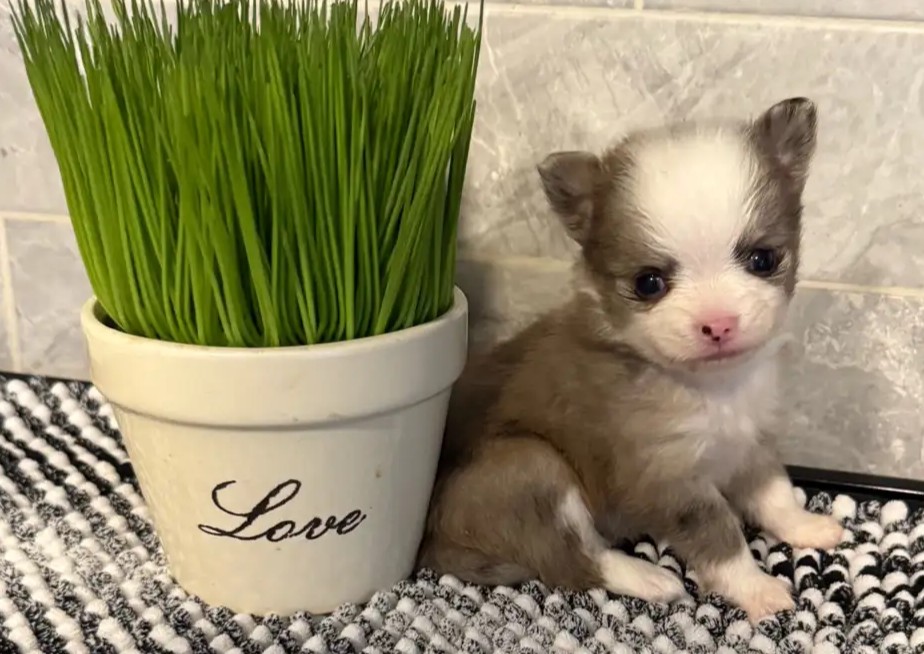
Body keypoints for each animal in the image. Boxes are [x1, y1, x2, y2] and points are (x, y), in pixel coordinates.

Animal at [418, 97, 844, 623]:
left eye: (762, 260)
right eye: (649, 283)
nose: (718, 324)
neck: (712, 389)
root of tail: (429, 543)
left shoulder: (751, 440)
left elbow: (773, 492)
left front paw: (804, 526)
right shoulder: (668, 482)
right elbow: (720, 536)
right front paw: (757, 588)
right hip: (528, 465)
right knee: (573, 560)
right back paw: (649, 577)